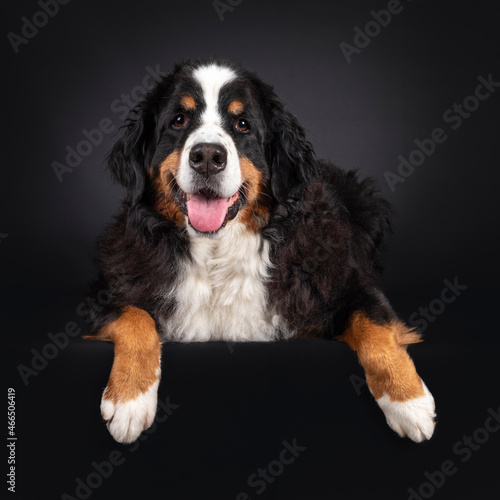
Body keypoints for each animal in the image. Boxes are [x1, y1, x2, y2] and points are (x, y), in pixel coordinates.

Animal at [87, 58, 438, 446]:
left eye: (243, 124)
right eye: (178, 120)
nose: (207, 157)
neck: (217, 250)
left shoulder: (348, 285)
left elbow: (376, 329)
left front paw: (410, 402)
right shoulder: (110, 290)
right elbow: (135, 319)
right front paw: (129, 399)